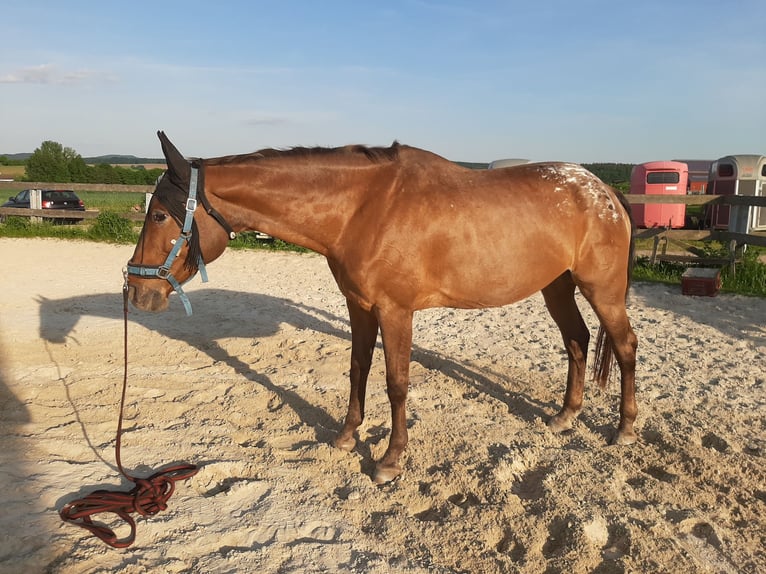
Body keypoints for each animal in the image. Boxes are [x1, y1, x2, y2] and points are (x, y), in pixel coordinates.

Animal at [129, 132, 640, 486]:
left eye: (159, 214)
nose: (136, 291)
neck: (363, 208)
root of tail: (602, 191)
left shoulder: (396, 311)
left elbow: (397, 383)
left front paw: (390, 460)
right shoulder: (359, 307)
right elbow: (358, 369)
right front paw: (346, 436)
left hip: (603, 290)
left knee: (625, 346)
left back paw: (625, 429)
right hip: (557, 287)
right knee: (576, 340)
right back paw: (565, 416)